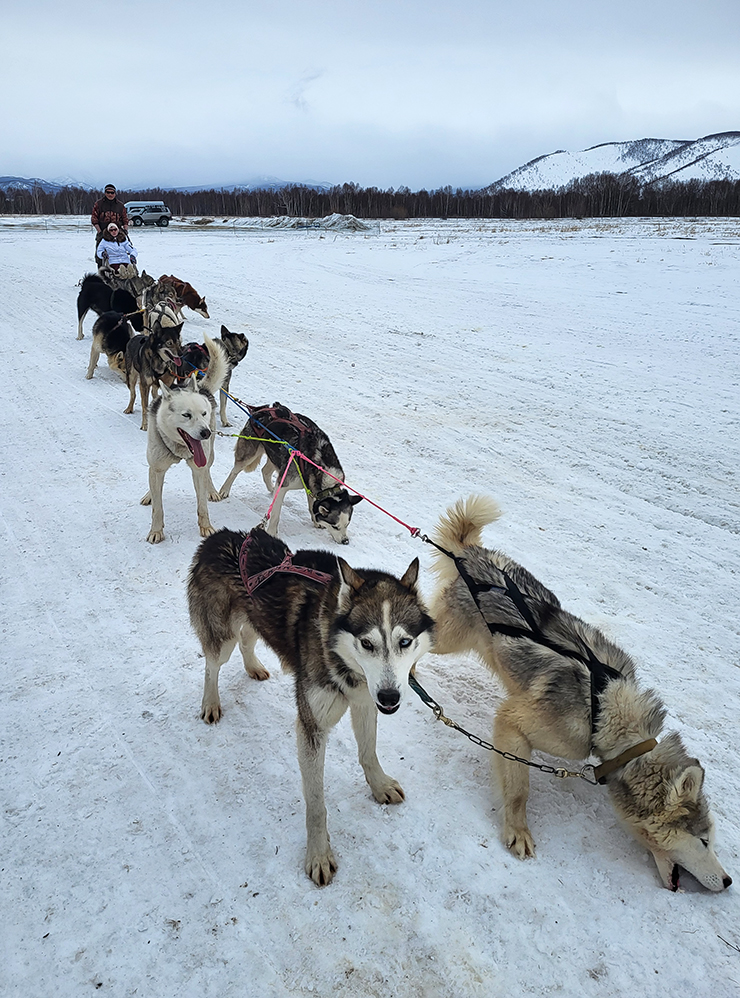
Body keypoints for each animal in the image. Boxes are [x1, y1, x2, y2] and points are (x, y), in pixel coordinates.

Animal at [140, 336, 227, 544]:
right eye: (186, 415)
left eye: (203, 413)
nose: (206, 433)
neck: (179, 448)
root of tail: (201, 388)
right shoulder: (157, 469)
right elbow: (157, 508)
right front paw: (156, 531)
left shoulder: (198, 468)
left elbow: (202, 505)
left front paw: (206, 527)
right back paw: (149, 494)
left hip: (209, 454)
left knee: (208, 470)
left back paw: (211, 490)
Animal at [188, 528, 436, 888]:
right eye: (367, 643)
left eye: (404, 642)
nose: (390, 697)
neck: (340, 658)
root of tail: (220, 535)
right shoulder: (312, 725)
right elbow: (316, 803)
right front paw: (318, 855)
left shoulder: (364, 701)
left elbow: (368, 752)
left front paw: (379, 786)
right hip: (222, 639)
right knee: (212, 664)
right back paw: (211, 702)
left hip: (252, 620)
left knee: (248, 639)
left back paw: (254, 667)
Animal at [218, 400, 362, 544]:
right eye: (335, 526)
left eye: (347, 524)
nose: (345, 541)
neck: (319, 463)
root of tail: (261, 409)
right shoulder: (284, 484)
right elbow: (275, 515)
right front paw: (271, 532)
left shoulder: (309, 484)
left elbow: (312, 505)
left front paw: (316, 522)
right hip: (249, 455)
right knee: (235, 471)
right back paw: (224, 490)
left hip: (277, 458)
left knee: (265, 471)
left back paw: (271, 489)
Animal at [428, 496, 736, 896]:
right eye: (703, 840)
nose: (729, 881)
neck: (607, 712)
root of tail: (471, 554)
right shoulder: (514, 727)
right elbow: (518, 789)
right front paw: (518, 829)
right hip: (445, 640)